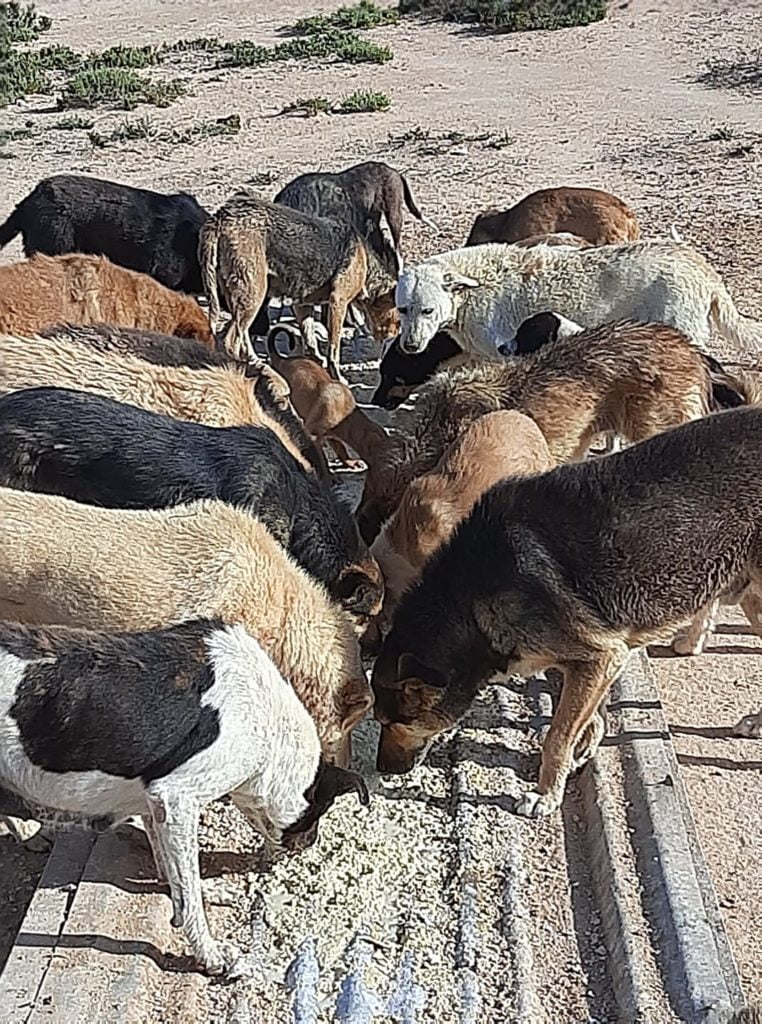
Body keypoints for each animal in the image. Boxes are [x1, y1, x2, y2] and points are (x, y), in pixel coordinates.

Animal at [266, 323, 393, 471]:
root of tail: (281, 360)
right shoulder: (313, 434)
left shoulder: (333, 435)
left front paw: (350, 463)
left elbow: (341, 449)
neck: (346, 414)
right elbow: (322, 460)